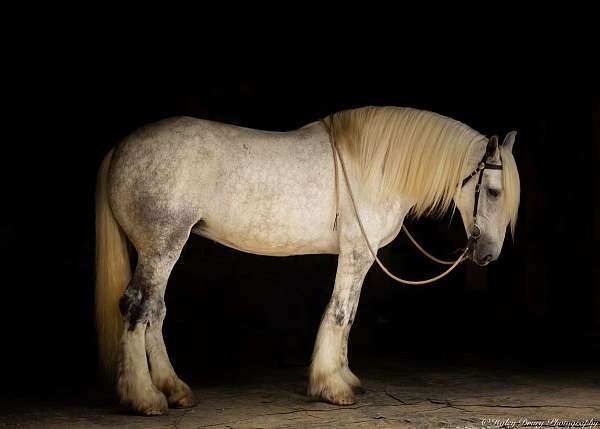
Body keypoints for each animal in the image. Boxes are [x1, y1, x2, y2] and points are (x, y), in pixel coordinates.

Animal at [96, 105, 516, 412]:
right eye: (493, 191)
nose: (488, 254)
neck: (376, 167)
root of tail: (121, 148)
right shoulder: (356, 252)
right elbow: (340, 312)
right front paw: (332, 387)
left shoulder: (360, 257)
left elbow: (350, 314)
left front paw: (345, 379)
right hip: (161, 246)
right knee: (138, 308)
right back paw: (145, 398)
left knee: (155, 311)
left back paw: (173, 389)